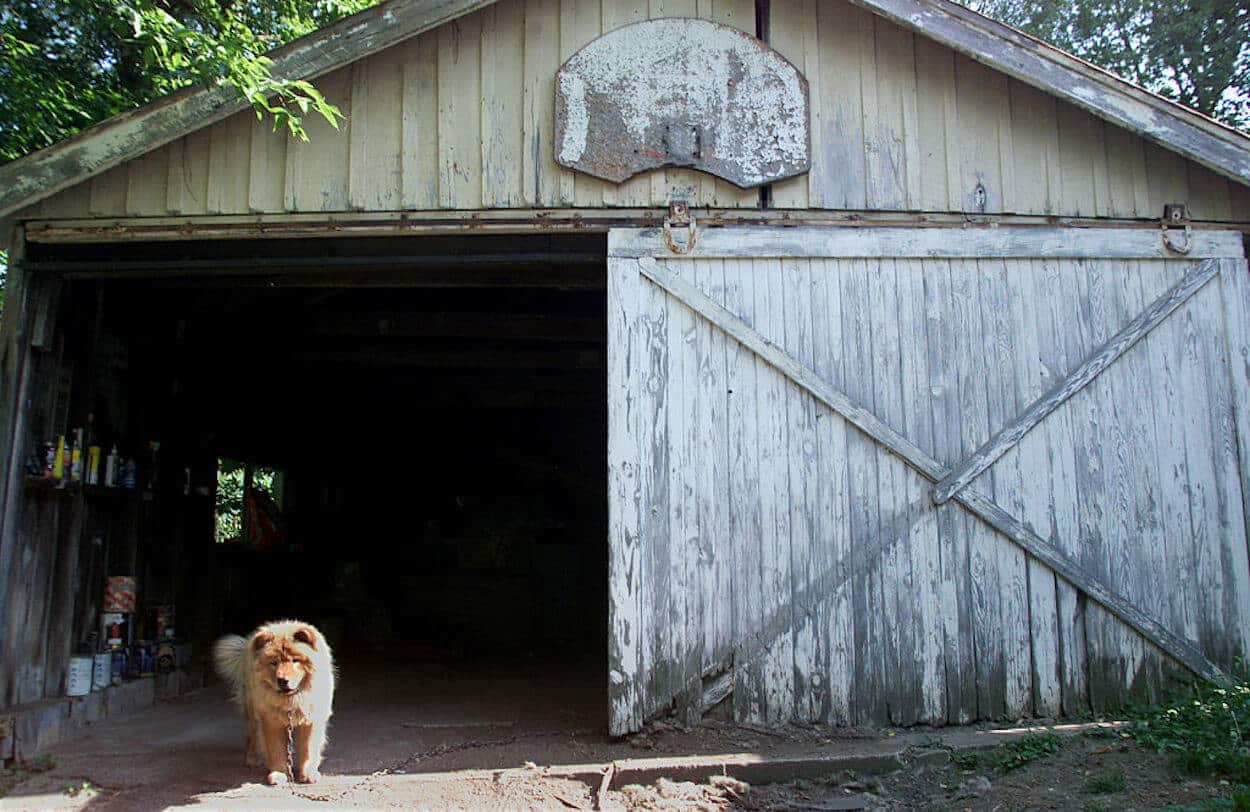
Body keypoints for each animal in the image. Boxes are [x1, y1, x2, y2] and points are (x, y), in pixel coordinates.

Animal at [215, 617, 335, 779]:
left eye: (295, 661)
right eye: (274, 663)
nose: (282, 680)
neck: (292, 700)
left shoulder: (311, 719)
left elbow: (308, 748)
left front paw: (308, 774)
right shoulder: (271, 721)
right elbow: (275, 749)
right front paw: (278, 774)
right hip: (252, 710)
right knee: (252, 736)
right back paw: (252, 759)